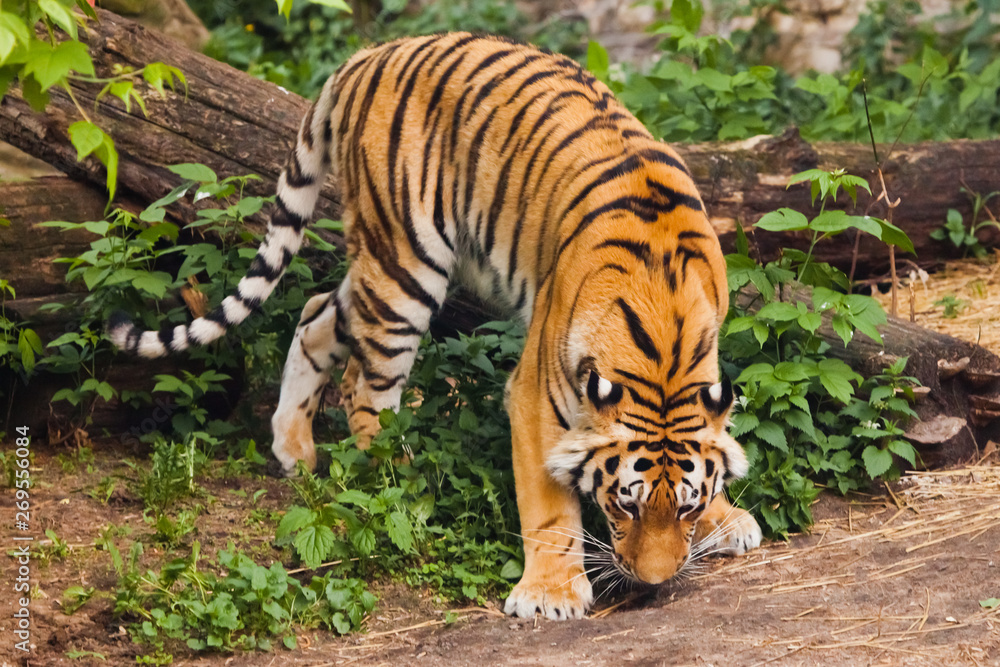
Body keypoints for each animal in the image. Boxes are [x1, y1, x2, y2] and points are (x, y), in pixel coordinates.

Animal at [109, 32, 762, 620]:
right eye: (624, 506)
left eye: (683, 510)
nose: (653, 584)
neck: (663, 345)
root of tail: (365, 55)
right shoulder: (537, 395)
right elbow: (549, 506)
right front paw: (550, 593)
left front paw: (725, 518)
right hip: (405, 266)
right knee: (366, 393)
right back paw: (403, 480)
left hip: (378, 268)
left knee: (316, 315)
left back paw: (294, 449)